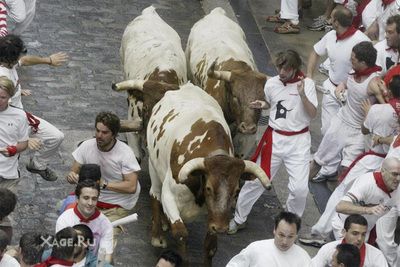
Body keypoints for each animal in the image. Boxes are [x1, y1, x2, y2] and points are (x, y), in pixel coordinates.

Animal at [147, 82, 272, 266]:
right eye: (208, 188)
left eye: (236, 191)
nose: (221, 227)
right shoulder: (169, 195)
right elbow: (181, 234)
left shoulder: (213, 216)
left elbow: (210, 246)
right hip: (153, 165)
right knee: (155, 194)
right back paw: (157, 235)